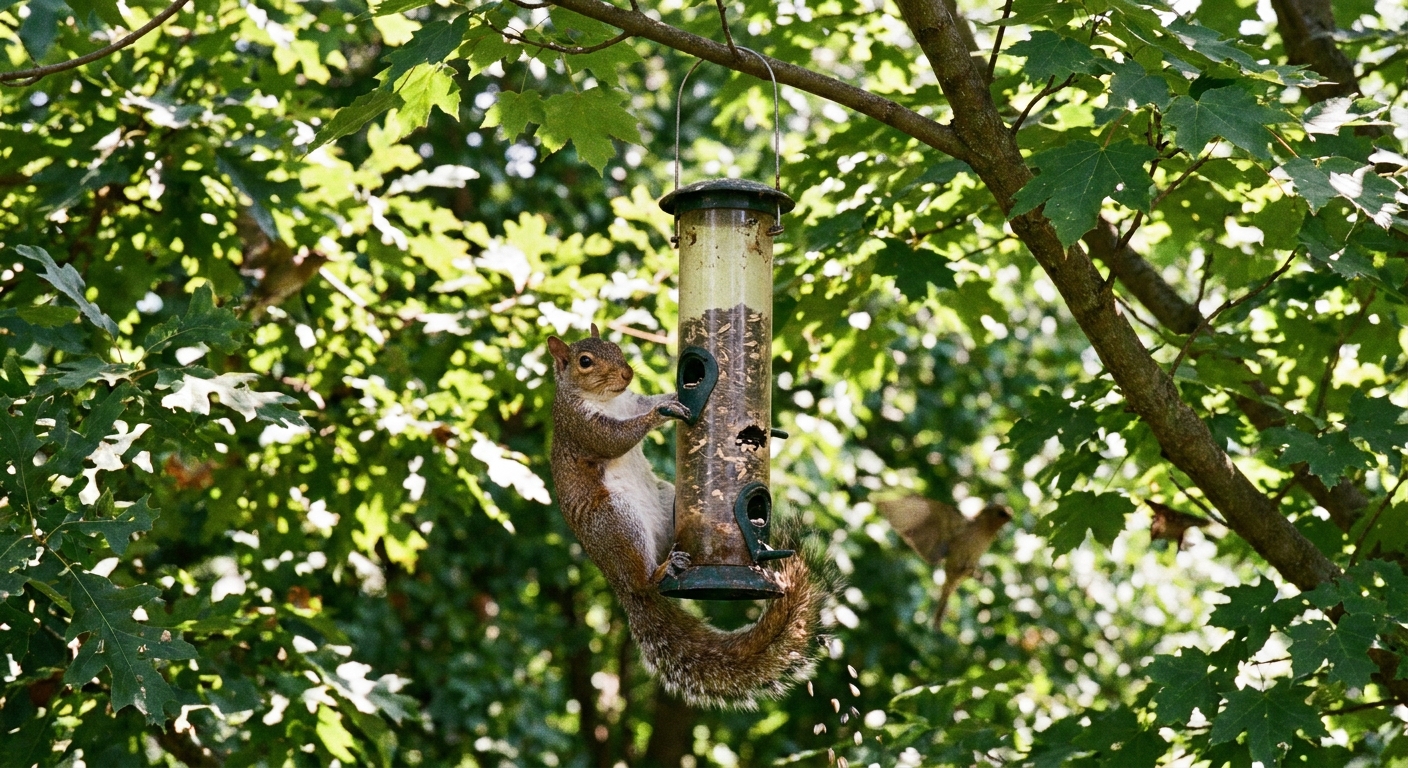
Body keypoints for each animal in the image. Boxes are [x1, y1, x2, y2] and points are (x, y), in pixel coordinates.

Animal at [547, 325, 833, 708]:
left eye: (615, 347)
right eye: (585, 362)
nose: (626, 374)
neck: (609, 400)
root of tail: (620, 584)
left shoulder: (631, 401)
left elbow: (645, 402)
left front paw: (676, 394)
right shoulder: (581, 426)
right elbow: (614, 439)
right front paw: (661, 414)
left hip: (666, 500)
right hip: (617, 521)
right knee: (643, 578)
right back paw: (660, 572)